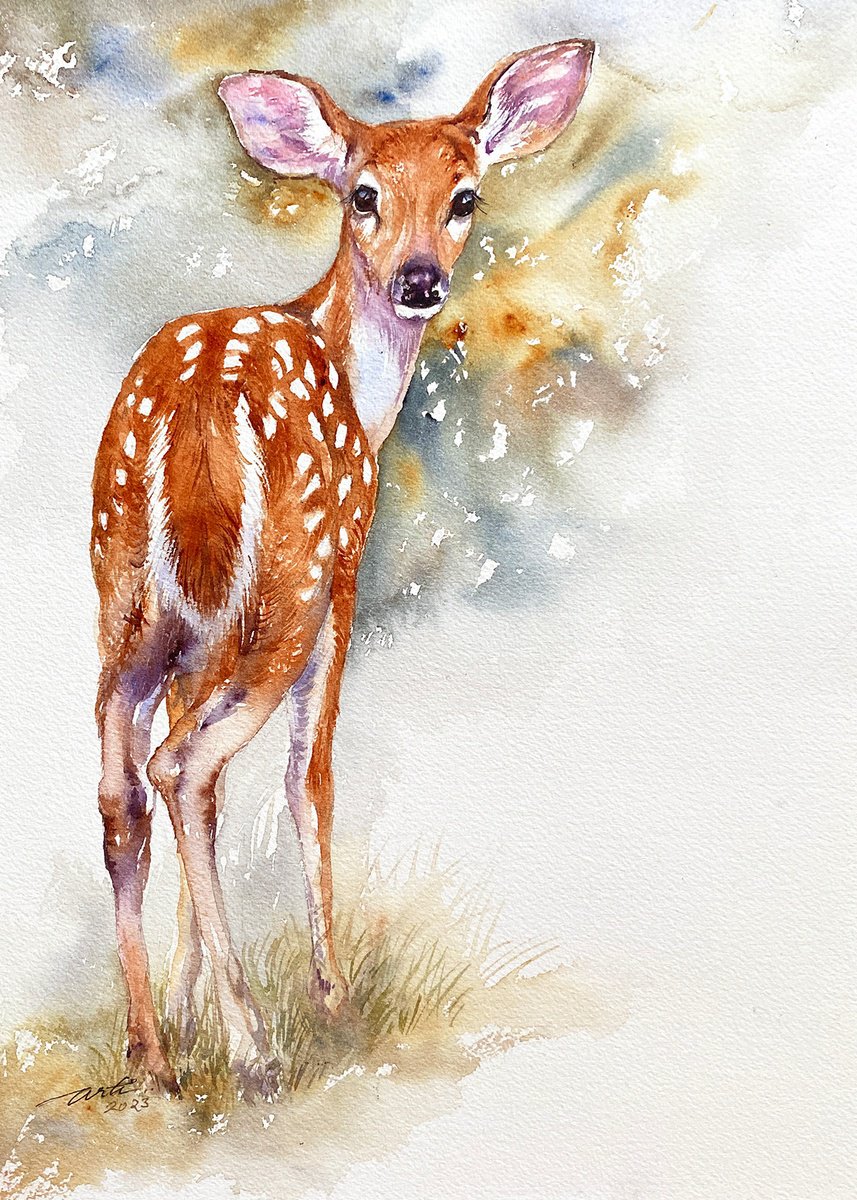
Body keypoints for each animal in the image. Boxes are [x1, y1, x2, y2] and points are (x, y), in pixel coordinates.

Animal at [90, 38, 594, 1095]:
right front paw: (326, 999)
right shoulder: (346, 568)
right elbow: (309, 776)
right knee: (186, 765)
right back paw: (256, 1047)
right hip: (288, 582)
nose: (419, 280)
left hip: (126, 602)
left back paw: (152, 1056)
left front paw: (190, 1008)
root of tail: (194, 418)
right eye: (362, 194)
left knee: (129, 789)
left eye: (464, 196)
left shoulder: (197, 636)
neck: (364, 397)